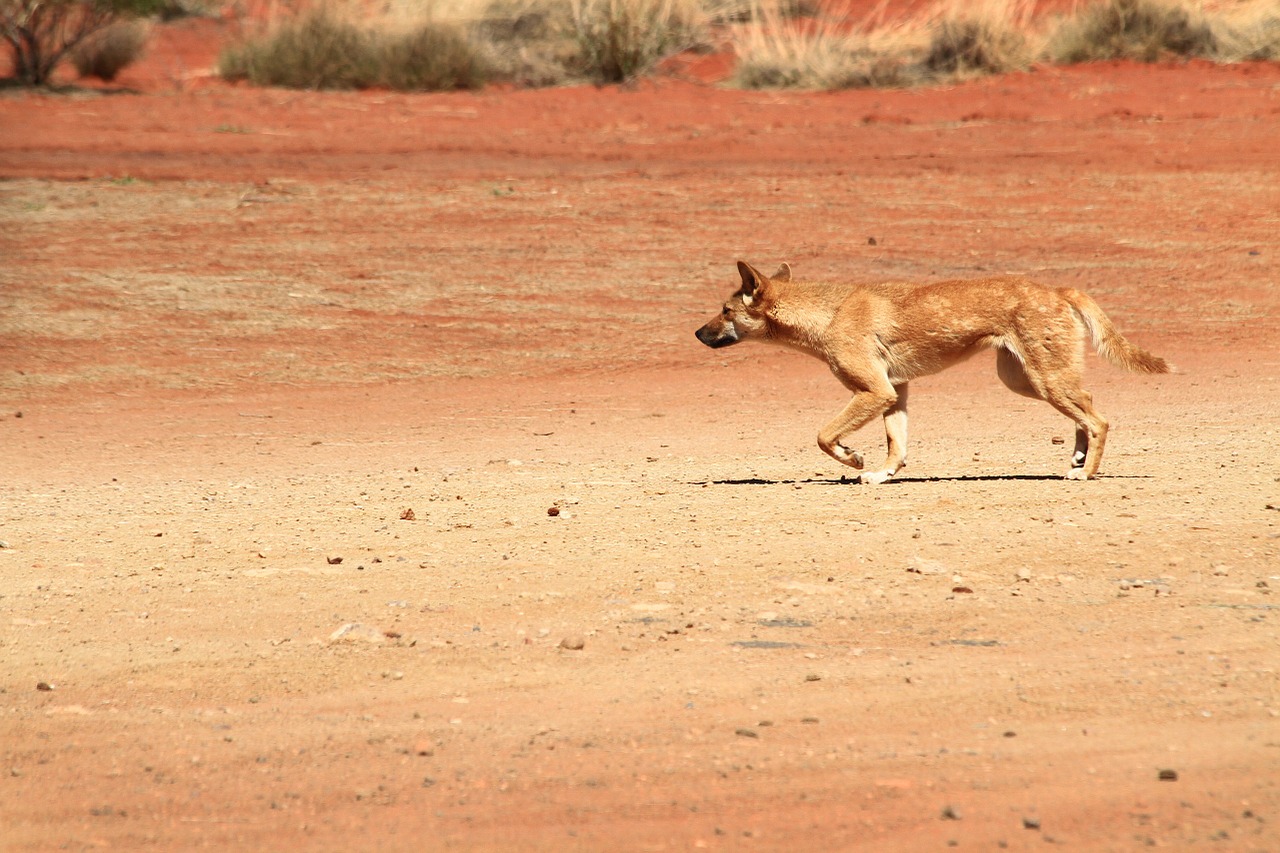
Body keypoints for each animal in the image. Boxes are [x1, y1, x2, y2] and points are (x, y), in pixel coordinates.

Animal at [701, 261, 1172, 479]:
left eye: (724, 311)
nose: (696, 333)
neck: (828, 314)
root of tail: (1057, 288)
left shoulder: (874, 391)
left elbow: (823, 436)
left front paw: (853, 459)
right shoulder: (894, 391)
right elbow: (897, 445)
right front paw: (883, 475)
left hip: (1043, 379)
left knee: (1098, 418)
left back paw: (1086, 472)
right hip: (1026, 381)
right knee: (1086, 408)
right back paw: (1077, 459)